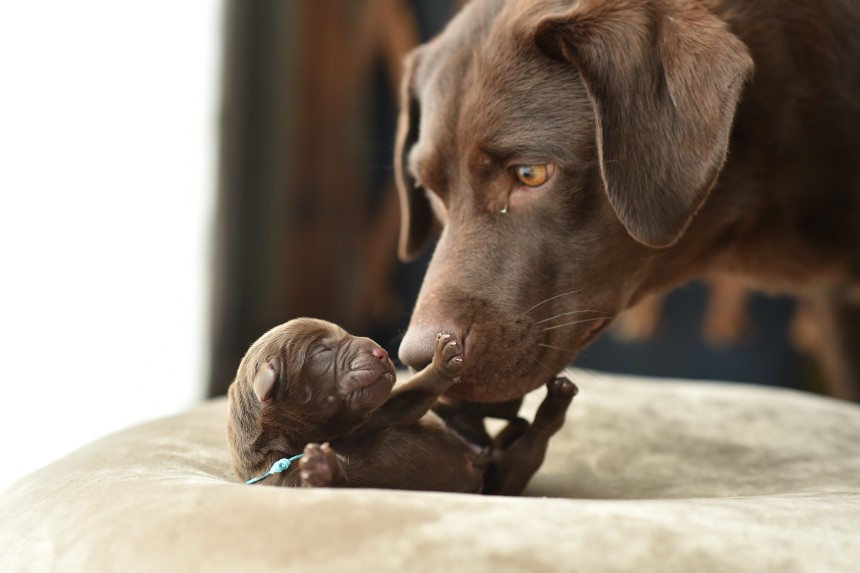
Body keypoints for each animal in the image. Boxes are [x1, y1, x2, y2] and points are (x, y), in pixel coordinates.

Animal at [228, 316, 576, 494]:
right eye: (321, 351)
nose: (381, 351)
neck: (333, 436)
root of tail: (485, 451)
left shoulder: (379, 414)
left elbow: (412, 397)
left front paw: (442, 362)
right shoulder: (285, 481)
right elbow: (344, 484)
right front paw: (323, 468)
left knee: (536, 435)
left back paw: (557, 398)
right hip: (506, 476)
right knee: (532, 443)